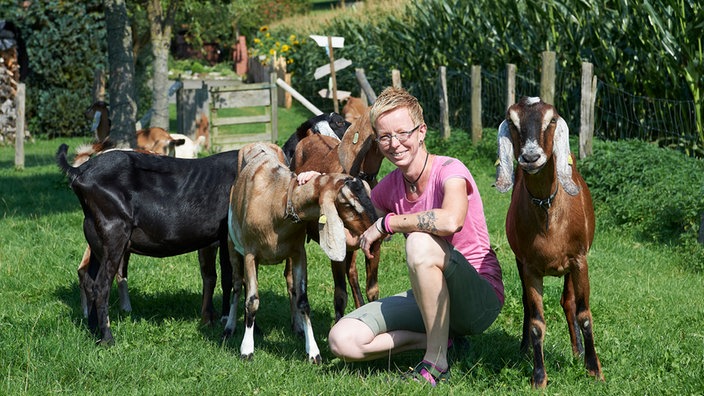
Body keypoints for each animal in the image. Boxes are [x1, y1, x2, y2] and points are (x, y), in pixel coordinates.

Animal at [224, 142, 380, 362]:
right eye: (348, 203)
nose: (375, 229)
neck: (277, 202)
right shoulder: (249, 254)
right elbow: (252, 300)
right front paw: (246, 349)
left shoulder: (299, 254)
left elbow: (303, 301)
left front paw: (313, 352)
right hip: (233, 246)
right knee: (238, 284)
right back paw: (229, 327)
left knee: (290, 285)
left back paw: (296, 327)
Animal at [496, 97, 604, 388]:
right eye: (512, 121)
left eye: (552, 119)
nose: (531, 157)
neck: (548, 211)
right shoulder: (529, 267)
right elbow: (536, 321)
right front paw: (539, 377)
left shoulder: (579, 260)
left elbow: (584, 315)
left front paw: (594, 370)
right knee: (528, 303)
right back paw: (524, 349)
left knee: (568, 302)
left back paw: (578, 352)